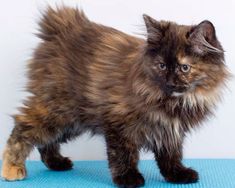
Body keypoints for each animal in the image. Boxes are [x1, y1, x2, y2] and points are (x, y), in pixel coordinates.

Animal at [0, 6, 229, 188]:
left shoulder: (169, 131)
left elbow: (170, 155)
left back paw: (56, 163)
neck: (174, 101)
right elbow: (123, 155)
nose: (170, 81)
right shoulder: (119, 124)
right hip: (59, 112)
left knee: (46, 142)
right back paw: (12, 167)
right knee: (23, 128)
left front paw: (176, 174)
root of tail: (61, 30)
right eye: (162, 66)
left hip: (73, 122)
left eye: (184, 67)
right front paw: (128, 178)